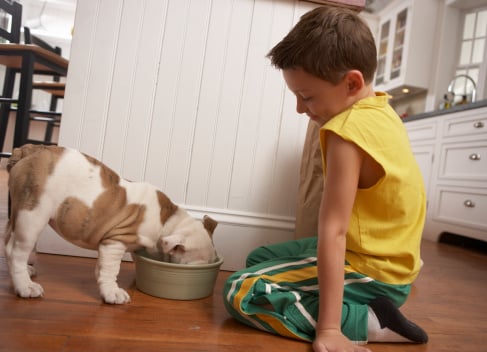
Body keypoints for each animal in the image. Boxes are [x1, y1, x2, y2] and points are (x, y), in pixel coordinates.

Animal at [4, 144, 218, 304]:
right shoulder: (115, 242)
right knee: (17, 251)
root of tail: (29, 150)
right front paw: (112, 293)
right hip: (32, 216)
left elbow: (102, 267)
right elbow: (111, 269)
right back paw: (25, 286)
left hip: (18, 213)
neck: (168, 222)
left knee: (8, 242)